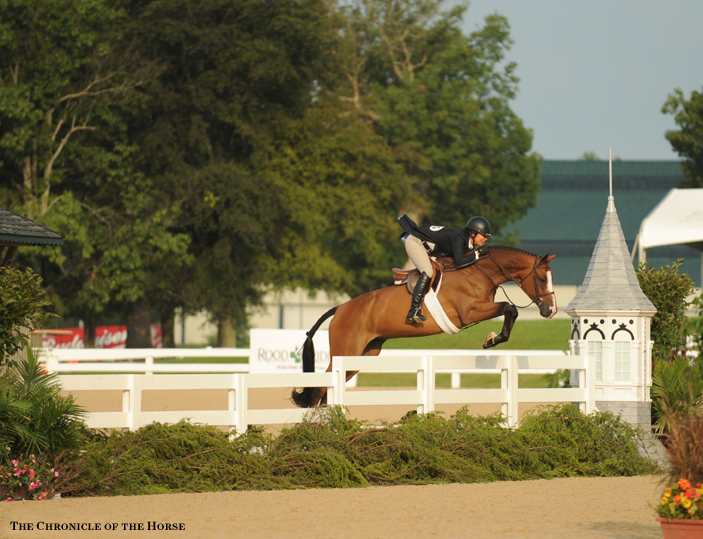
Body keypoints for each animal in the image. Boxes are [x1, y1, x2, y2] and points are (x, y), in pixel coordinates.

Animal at [290, 248, 556, 410]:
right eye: (542, 279)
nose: (551, 310)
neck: (479, 272)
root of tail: (340, 308)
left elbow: (510, 311)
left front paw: (492, 339)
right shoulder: (470, 312)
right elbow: (510, 308)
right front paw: (491, 339)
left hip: (362, 355)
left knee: (328, 390)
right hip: (345, 350)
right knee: (320, 388)